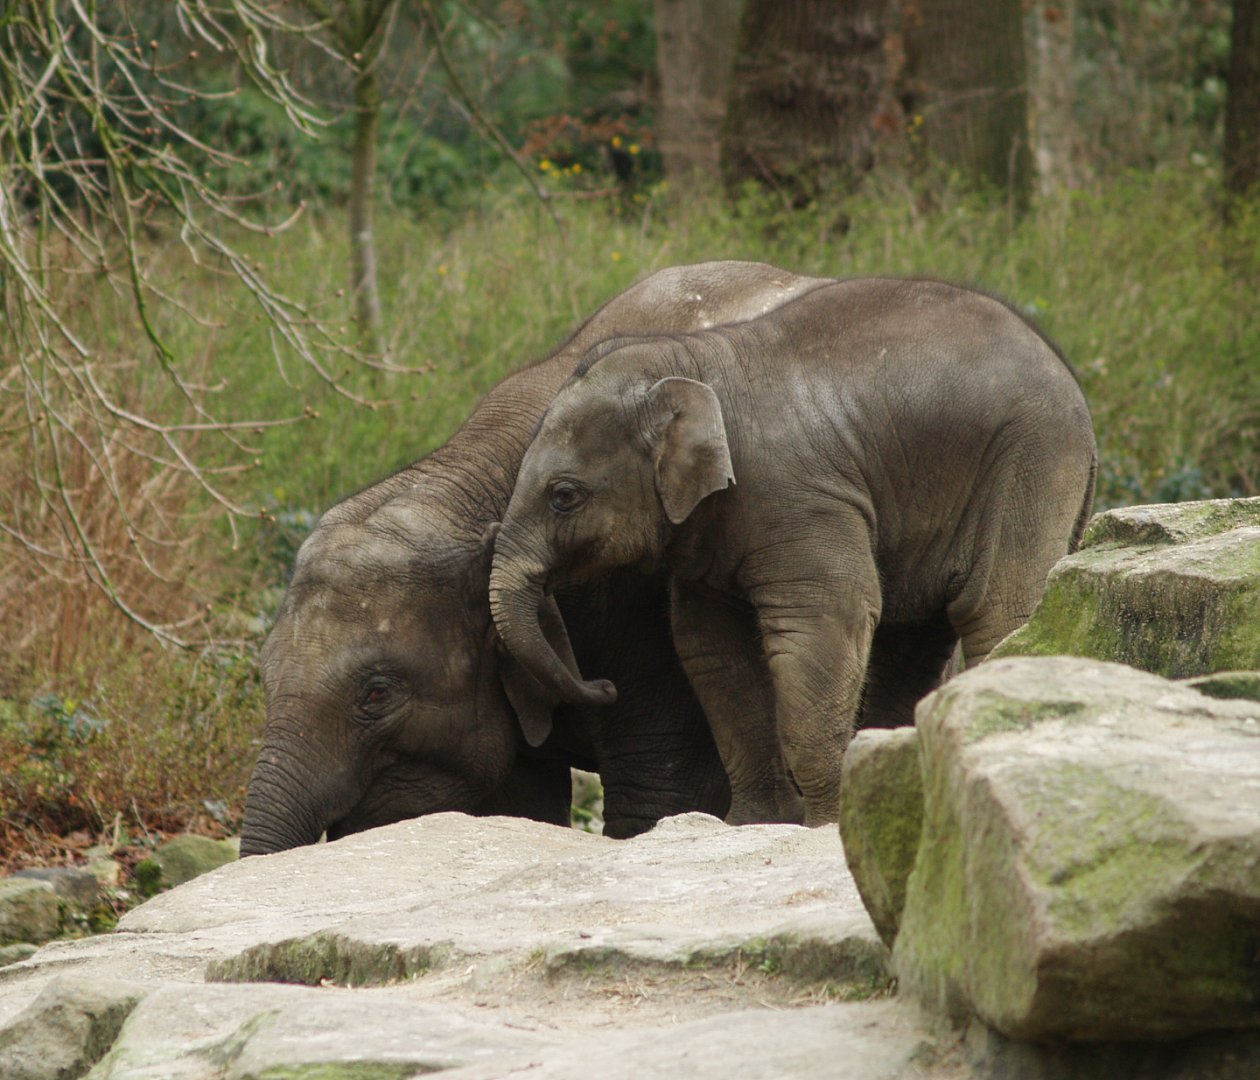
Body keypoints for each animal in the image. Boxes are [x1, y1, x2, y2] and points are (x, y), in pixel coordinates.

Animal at [239, 261, 834, 854]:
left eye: (377, 693)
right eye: (263, 677)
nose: (600, 687)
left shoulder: (644, 619)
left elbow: (660, 795)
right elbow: (518, 801)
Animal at [488, 277, 1098, 828]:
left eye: (564, 497)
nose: (605, 686)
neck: (690, 363)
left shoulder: (802, 498)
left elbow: (822, 623)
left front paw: (823, 824)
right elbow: (712, 648)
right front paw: (752, 824)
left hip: (1031, 459)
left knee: (994, 611)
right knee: (913, 641)